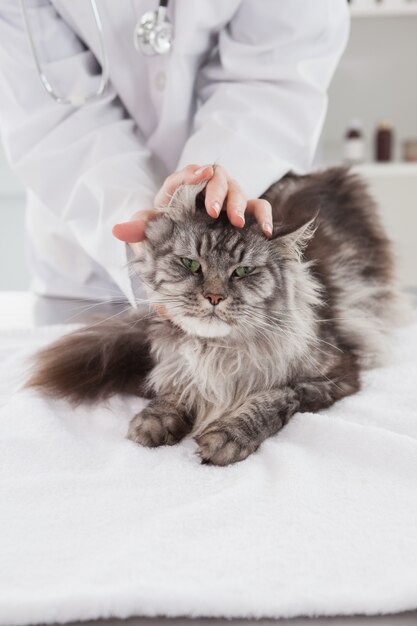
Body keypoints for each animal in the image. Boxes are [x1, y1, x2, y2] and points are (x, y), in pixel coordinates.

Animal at [27, 167, 402, 464]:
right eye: (191, 264)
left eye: (243, 271)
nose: (214, 297)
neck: (215, 352)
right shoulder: (178, 363)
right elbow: (174, 390)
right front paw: (155, 419)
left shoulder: (335, 374)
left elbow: (272, 397)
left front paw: (228, 436)